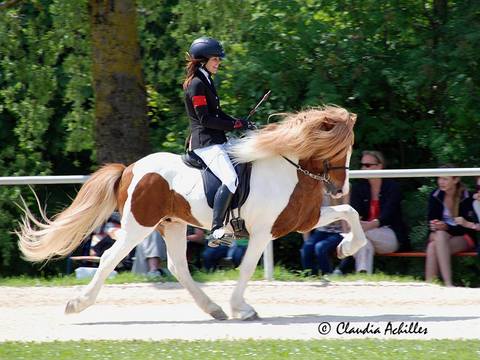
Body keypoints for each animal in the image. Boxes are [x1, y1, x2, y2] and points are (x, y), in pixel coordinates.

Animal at [16, 105, 366, 320]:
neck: (286, 168)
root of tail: (129, 169)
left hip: (171, 224)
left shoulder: (301, 220)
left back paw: (213, 309)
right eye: (340, 149)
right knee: (109, 258)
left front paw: (346, 247)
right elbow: (246, 268)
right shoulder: (263, 231)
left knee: (177, 266)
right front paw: (242, 308)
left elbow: (350, 212)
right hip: (138, 226)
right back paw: (77, 304)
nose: (339, 187)